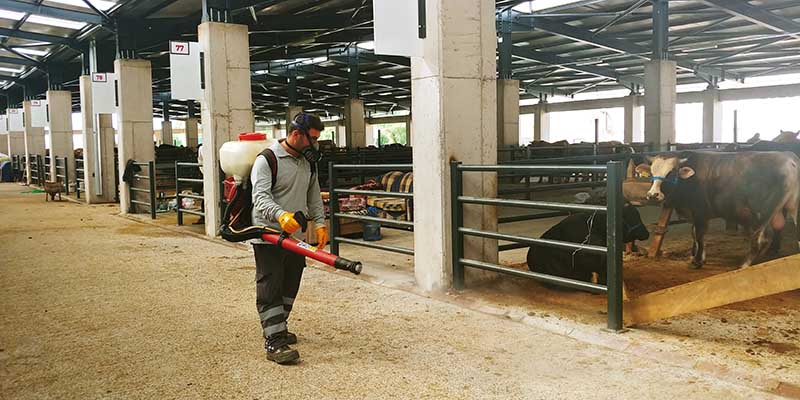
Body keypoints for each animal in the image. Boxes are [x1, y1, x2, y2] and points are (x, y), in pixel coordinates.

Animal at [636, 151, 800, 268]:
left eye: (671, 172)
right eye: (651, 173)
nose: (653, 195)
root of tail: (789, 159)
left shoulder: (700, 212)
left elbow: (699, 235)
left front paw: (697, 261)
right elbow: (694, 234)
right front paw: (697, 257)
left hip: (761, 214)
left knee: (760, 239)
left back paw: (744, 264)